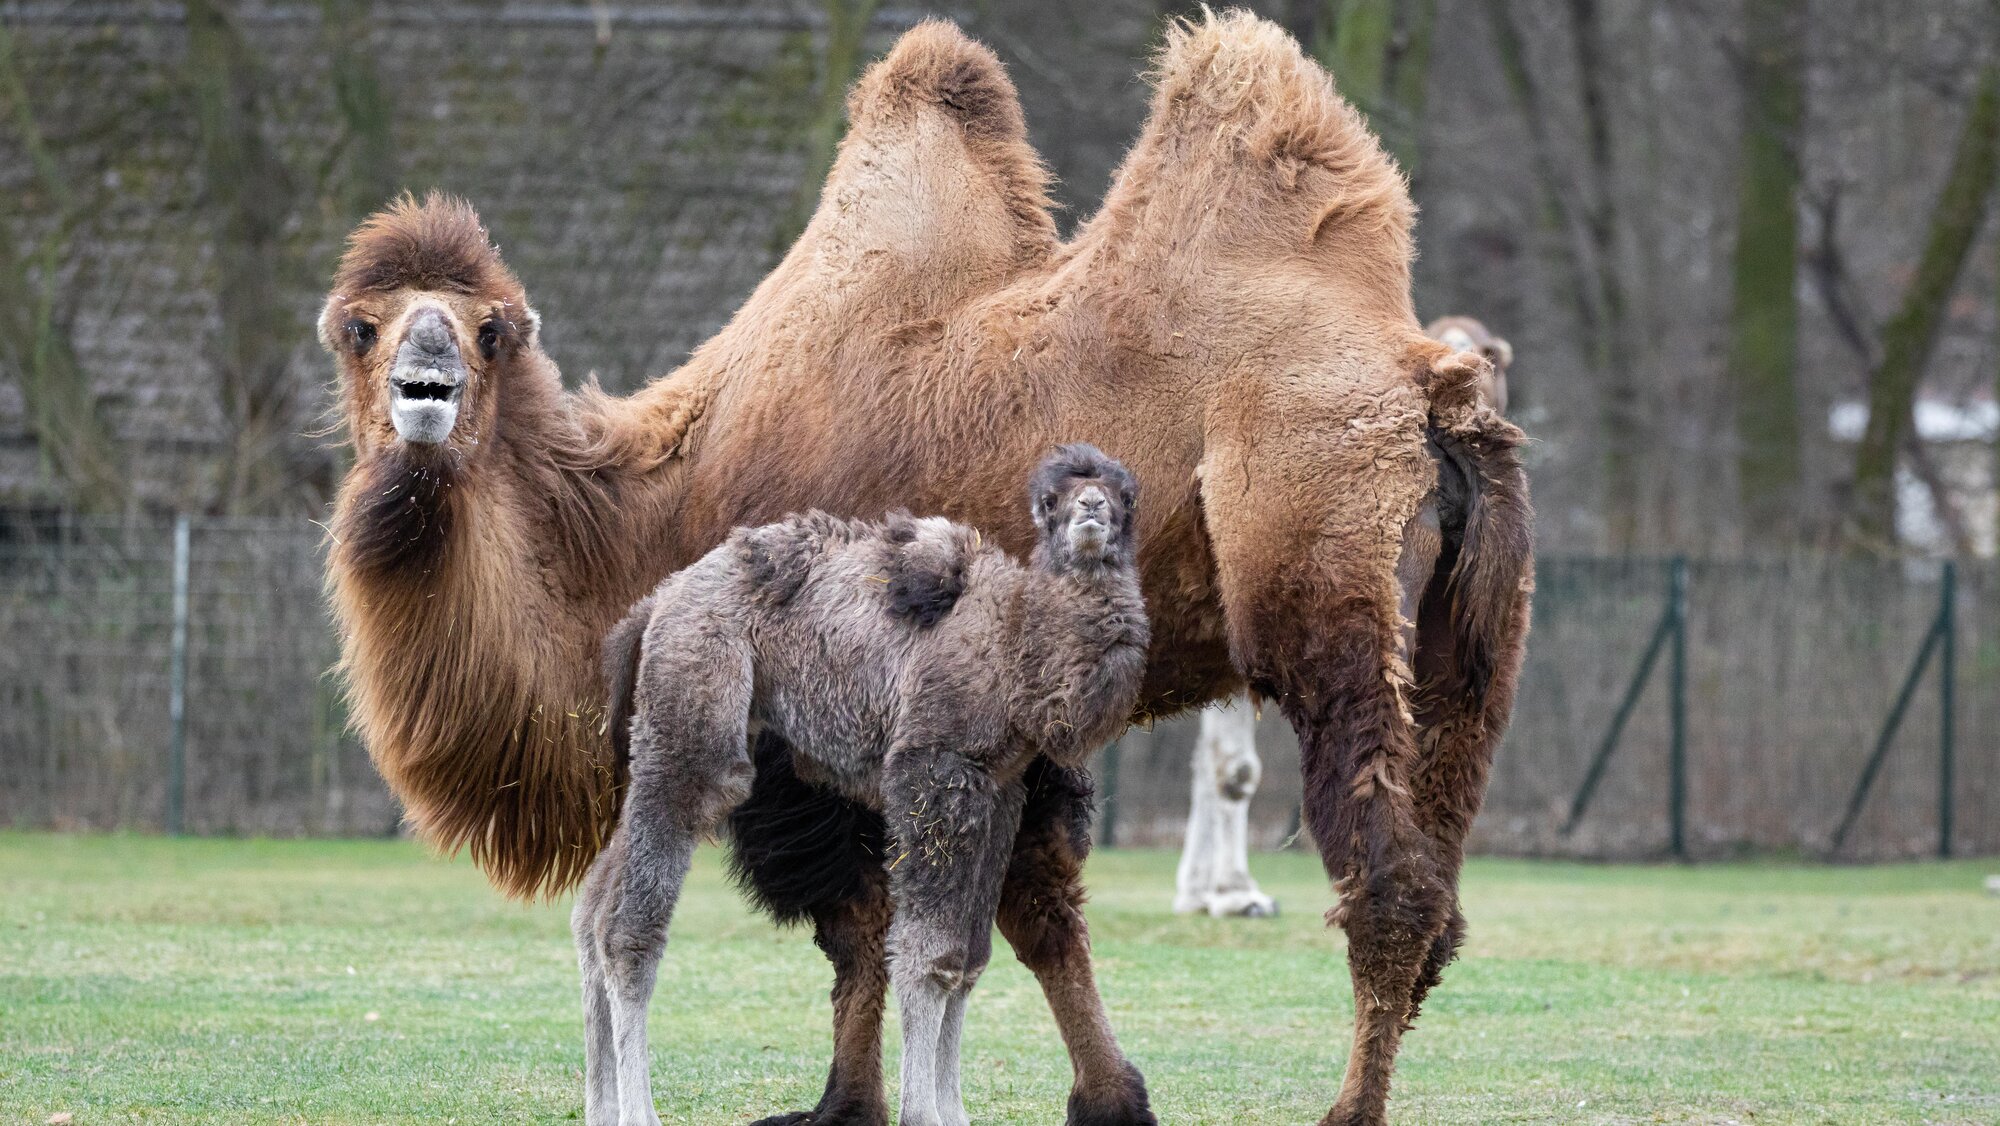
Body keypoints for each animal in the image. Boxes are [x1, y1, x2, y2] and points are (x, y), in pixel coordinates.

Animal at [576, 446, 1144, 1120]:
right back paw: (639, 1109)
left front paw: (953, 1112)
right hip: (693, 712)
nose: (1092, 510)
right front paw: (923, 1113)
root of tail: (654, 607)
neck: (1015, 644)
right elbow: (930, 956)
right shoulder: (932, 768)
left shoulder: (1001, 787)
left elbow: (969, 959)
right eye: (1051, 502)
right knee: (629, 925)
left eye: (1126, 496)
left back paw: (601, 1108)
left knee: (591, 906)